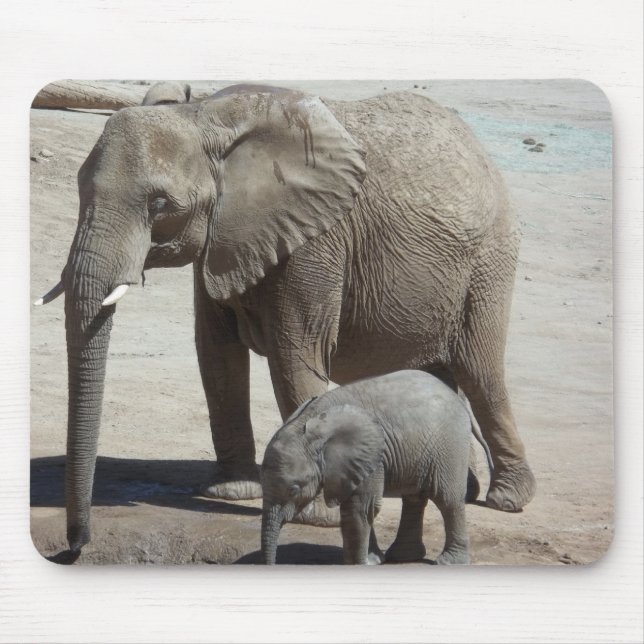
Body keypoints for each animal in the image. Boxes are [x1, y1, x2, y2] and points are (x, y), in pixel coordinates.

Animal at [261, 370, 489, 565]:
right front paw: (371, 561)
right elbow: (357, 507)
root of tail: (455, 395)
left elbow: (361, 507)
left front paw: (361, 564)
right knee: (414, 498)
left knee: (448, 499)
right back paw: (403, 556)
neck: (310, 424)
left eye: (294, 490)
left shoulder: (371, 457)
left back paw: (448, 562)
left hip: (449, 444)